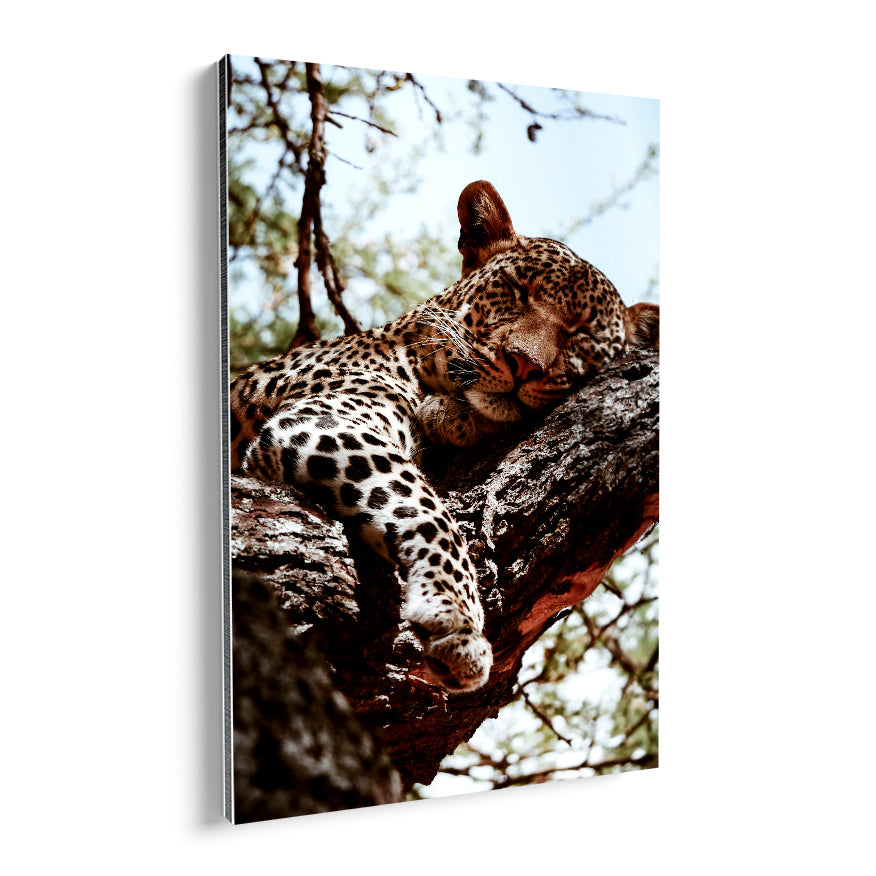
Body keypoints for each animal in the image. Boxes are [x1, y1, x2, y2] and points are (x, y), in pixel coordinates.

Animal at [229, 180, 659, 694]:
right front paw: (455, 616)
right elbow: (426, 508)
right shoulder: (325, 418)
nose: (524, 363)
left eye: (581, 334)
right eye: (517, 291)